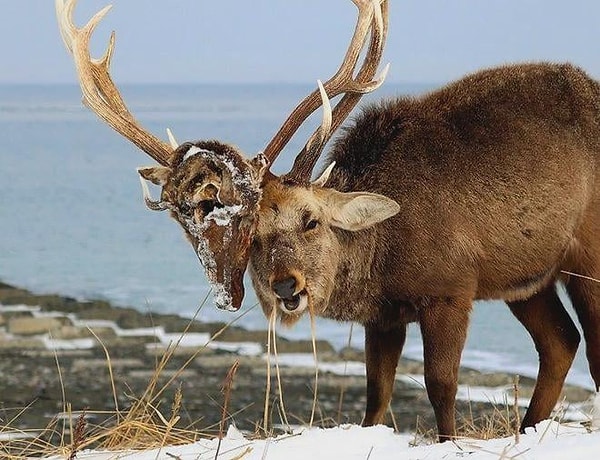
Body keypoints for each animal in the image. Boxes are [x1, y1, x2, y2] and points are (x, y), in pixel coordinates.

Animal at [57, 0, 600, 442]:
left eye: (311, 220)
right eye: (253, 235)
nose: (286, 285)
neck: (382, 257)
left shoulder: (451, 289)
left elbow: (441, 385)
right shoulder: (383, 316)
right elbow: (376, 398)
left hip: (587, 256)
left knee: (587, 347)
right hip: (528, 277)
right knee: (560, 341)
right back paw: (528, 429)